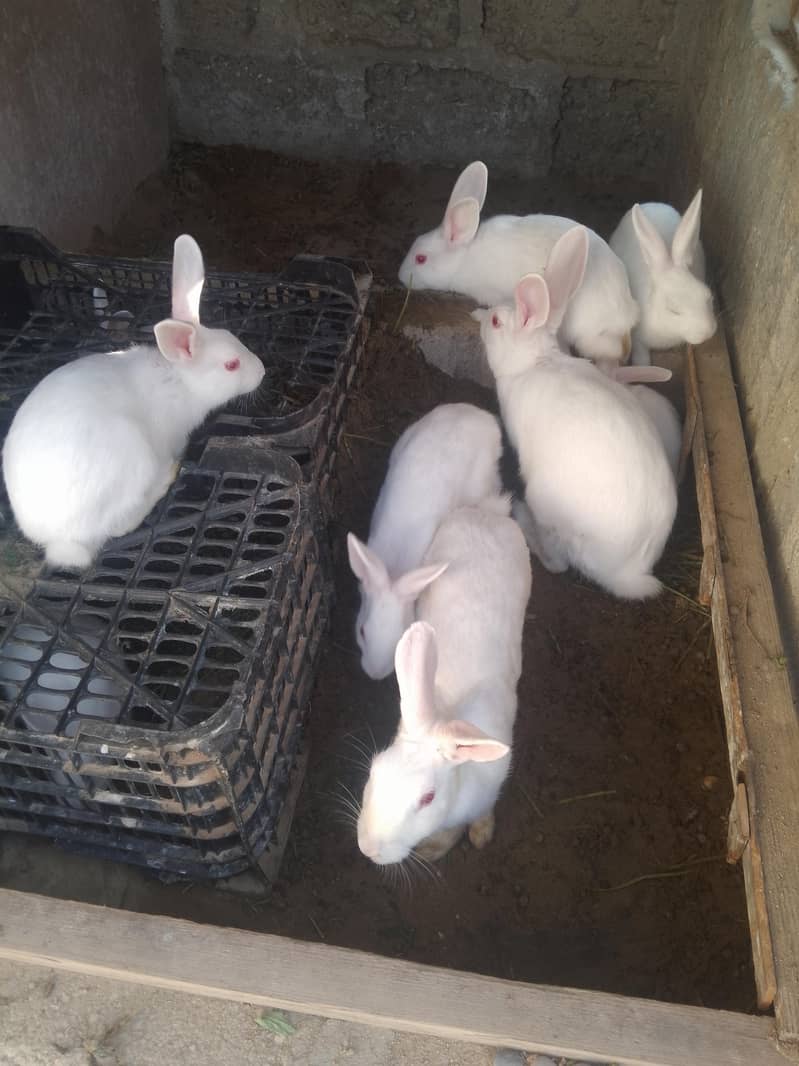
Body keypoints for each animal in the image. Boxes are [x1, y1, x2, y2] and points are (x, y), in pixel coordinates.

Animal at [2, 234, 265, 570]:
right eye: (231, 365)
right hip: (133, 459)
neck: (179, 380)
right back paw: (166, 477)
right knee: (120, 525)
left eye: (235, 339)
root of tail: (59, 541)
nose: (262, 371)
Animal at [474, 225, 677, 601]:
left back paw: (523, 519)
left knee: (558, 562)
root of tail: (626, 572)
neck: (534, 363)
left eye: (495, 321)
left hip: (545, 503)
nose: (482, 320)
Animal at [609, 190, 716, 365]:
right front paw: (643, 366)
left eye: (708, 297)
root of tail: (651, 203)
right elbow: (641, 356)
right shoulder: (637, 338)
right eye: (673, 310)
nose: (707, 332)